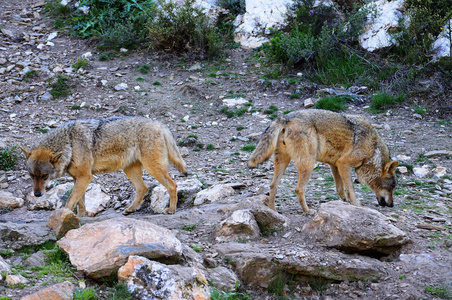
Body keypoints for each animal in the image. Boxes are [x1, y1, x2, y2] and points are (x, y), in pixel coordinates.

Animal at [20, 116, 187, 217]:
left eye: (44, 176)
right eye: (32, 176)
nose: (37, 195)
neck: (70, 143)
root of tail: (158, 123)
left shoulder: (85, 176)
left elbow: (71, 200)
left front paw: (63, 215)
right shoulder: (78, 178)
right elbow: (80, 202)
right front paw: (78, 218)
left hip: (153, 168)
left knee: (173, 185)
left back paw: (171, 209)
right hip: (130, 170)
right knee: (143, 188)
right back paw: (130, 209)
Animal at [247, 108, 400, 213]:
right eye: (392, 187)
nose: (392, 205)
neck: (373, 150)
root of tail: (286, 117)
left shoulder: (335, 165)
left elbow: (340, 189)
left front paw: (345, 203)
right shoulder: (344, 164)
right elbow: (350, 190)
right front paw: (357, 206)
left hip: (283, 162)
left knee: (273, 186)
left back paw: (273, 211)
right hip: (308, 165)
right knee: (299, 189)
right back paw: (307, 211)